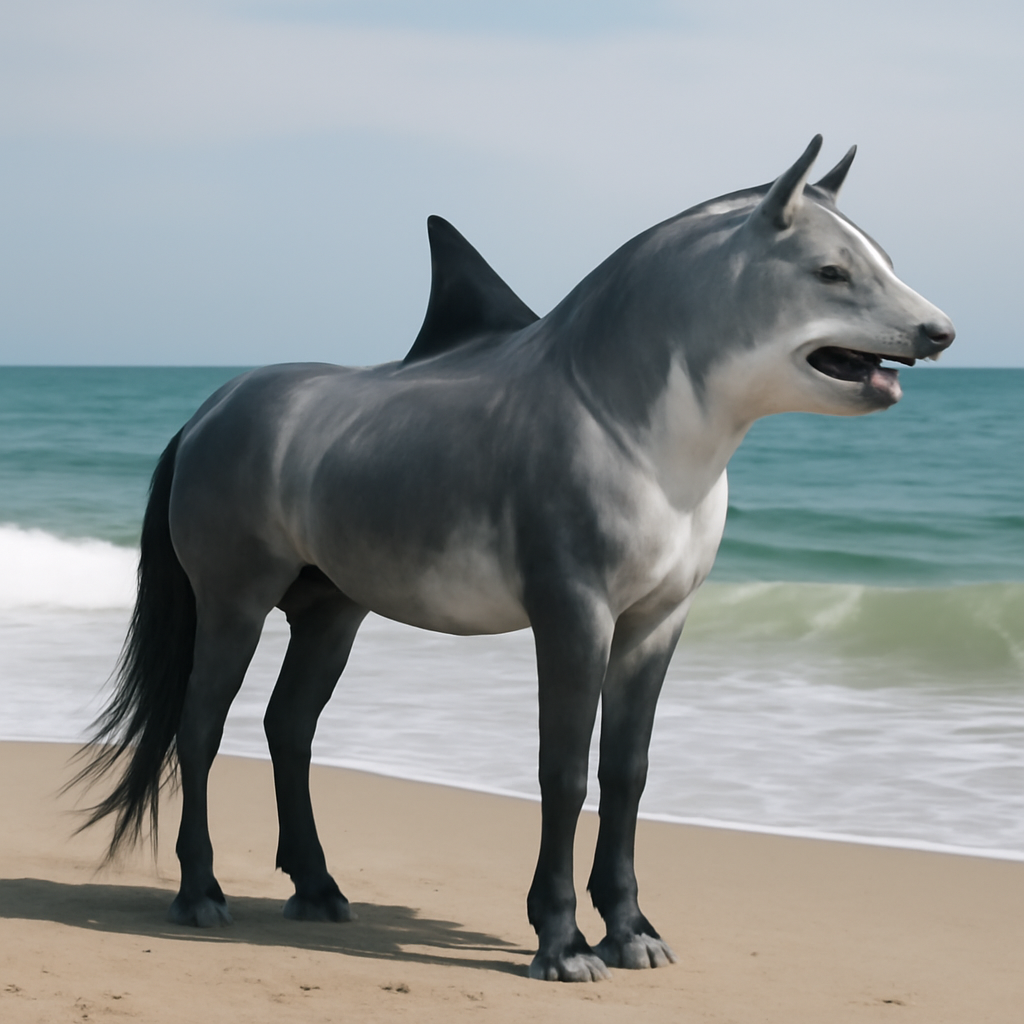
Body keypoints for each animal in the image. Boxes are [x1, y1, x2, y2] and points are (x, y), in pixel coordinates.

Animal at [74, 136, 954, 982]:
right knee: (201, 727)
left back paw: (319, 890)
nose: (939, 333)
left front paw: (631, 931)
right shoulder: (573, 613)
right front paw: (562, 943)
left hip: (332, 612)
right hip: (235, 603)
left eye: (884, 259)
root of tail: (210, 411)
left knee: (288, 726)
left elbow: (626, 772)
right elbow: (562, 772)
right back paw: (201, 893)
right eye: (830, 271)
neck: (623, 423)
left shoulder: (656, 621)